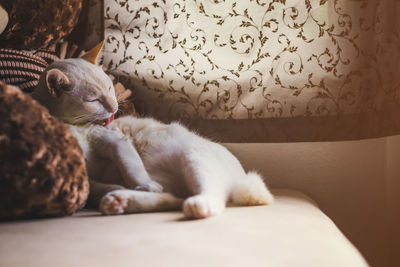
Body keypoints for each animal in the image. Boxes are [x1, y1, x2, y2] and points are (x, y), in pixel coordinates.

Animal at [32, 43, 274, 220]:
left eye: (110, 87)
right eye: (93, 100)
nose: (114, 107)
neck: (72, 127)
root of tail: (243, 177)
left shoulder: (115, 141)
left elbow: (131, 167)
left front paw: (142, 184)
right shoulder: (84, 175)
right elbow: (96, 187)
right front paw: (116, 189)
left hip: (195, 158)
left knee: (210, 197)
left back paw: (194, 205)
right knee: (172, 198)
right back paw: (120, 201)